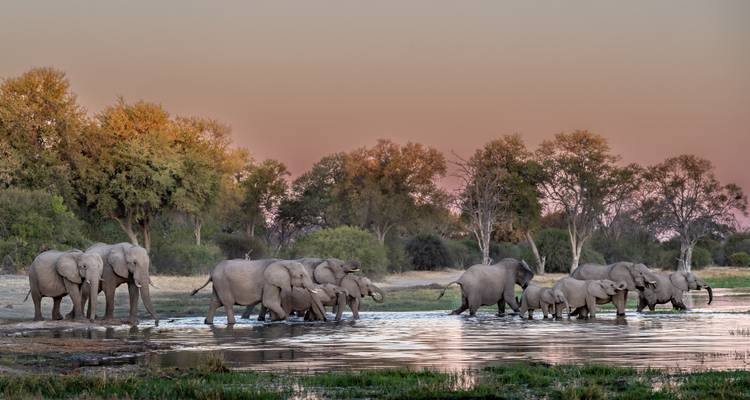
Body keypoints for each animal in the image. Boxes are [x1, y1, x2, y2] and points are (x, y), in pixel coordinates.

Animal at [190, 259, 326, 324]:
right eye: (301, 275)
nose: (325, 320)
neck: (283, 262)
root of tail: (212, 272)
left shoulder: (274, 284)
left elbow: (273, 302)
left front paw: (273, 320)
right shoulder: (269, 282)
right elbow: (269, 302)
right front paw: (280, 319)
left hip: (218, 284)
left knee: (215, 302)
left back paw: (207, 322)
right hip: (223, 284)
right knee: (227, 304)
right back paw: (232, 323)